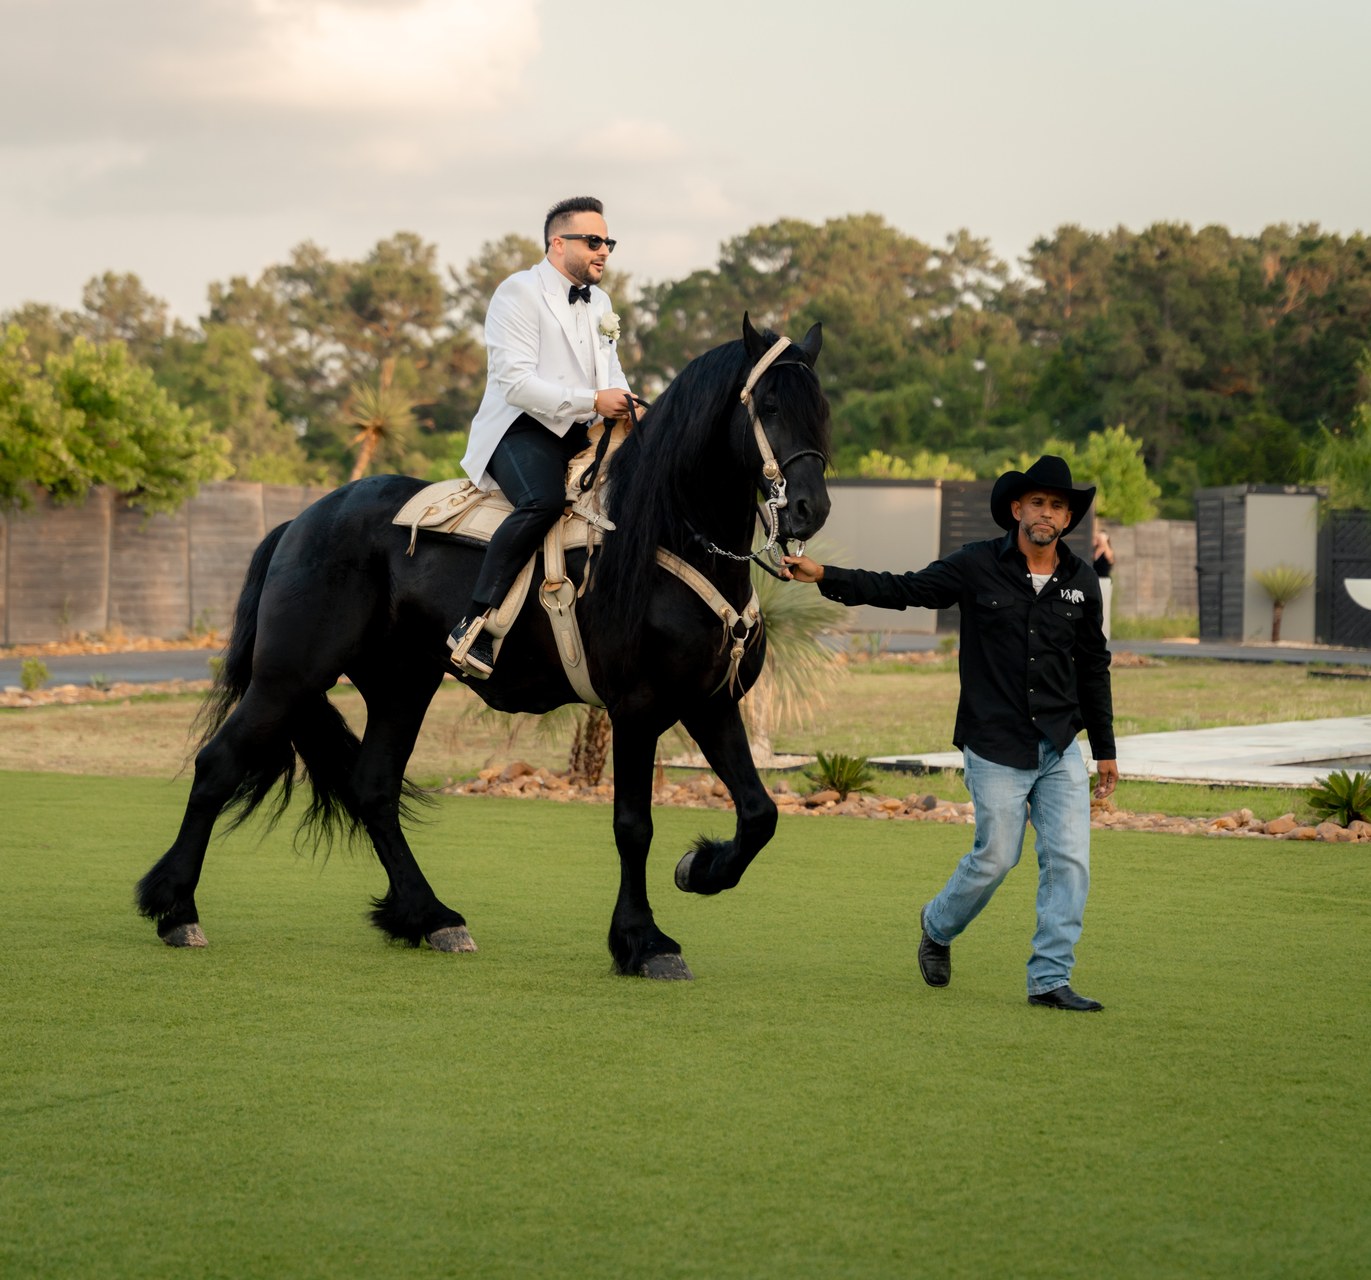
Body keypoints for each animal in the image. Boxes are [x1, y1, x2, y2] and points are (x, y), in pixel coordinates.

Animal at [136, 315, 832, 978]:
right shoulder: (637, 709)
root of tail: (301, 522)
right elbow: (635, 826)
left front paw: (700, 869)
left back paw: (430, 917)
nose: (810, 508)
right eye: (769, 405)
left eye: (821, 407)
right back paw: (176, 909)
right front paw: (644, 942)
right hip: (289, 677)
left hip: (401, 686)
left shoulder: (710, 703)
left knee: (373, 788)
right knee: (218, 764)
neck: (665, 534)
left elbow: (759, 811)